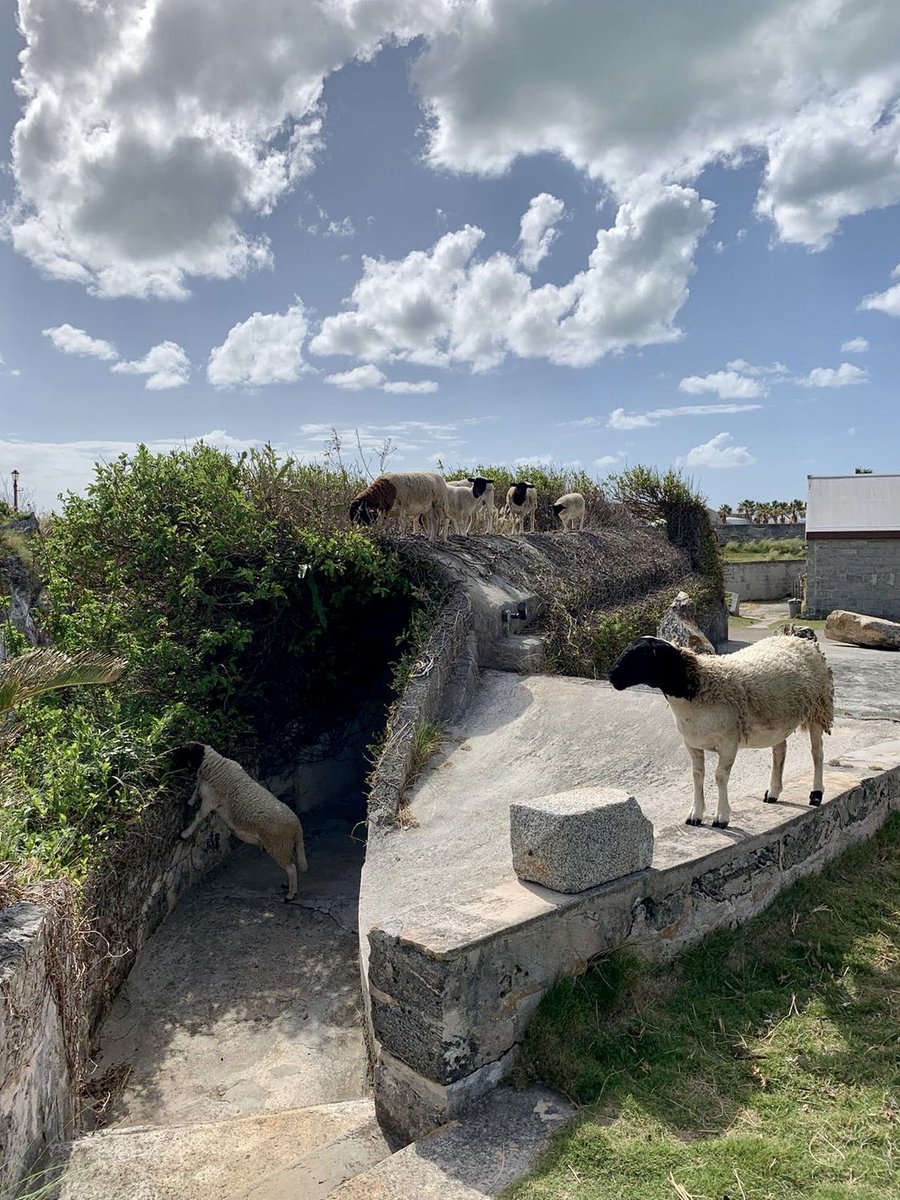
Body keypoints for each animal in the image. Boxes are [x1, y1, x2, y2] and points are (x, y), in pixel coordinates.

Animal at [174, 742, 307, 901]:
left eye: (186, 751)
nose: (171, 755)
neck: (214, 767)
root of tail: (297, 825)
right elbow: (196, 791)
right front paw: (189, 802)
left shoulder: (210, 801)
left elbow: (198, 817)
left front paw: (184, 833)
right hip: (287, 845)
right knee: (292, 864)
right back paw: (288, 885)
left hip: (278, 844)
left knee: (291, 867)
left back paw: (291, 894)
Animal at [608, 629, 834, 829]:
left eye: (643, 655)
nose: (611, 676)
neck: (697, 686)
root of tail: (800, 639)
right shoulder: (692, 743)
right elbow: (697, 776)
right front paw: (695, 816)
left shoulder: (728, 742)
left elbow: (719, 777)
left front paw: (721, 818)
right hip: (778, 719)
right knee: (779, 752)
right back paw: (773, 793)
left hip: (818, 707)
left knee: (817, 752)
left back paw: (816, 794)